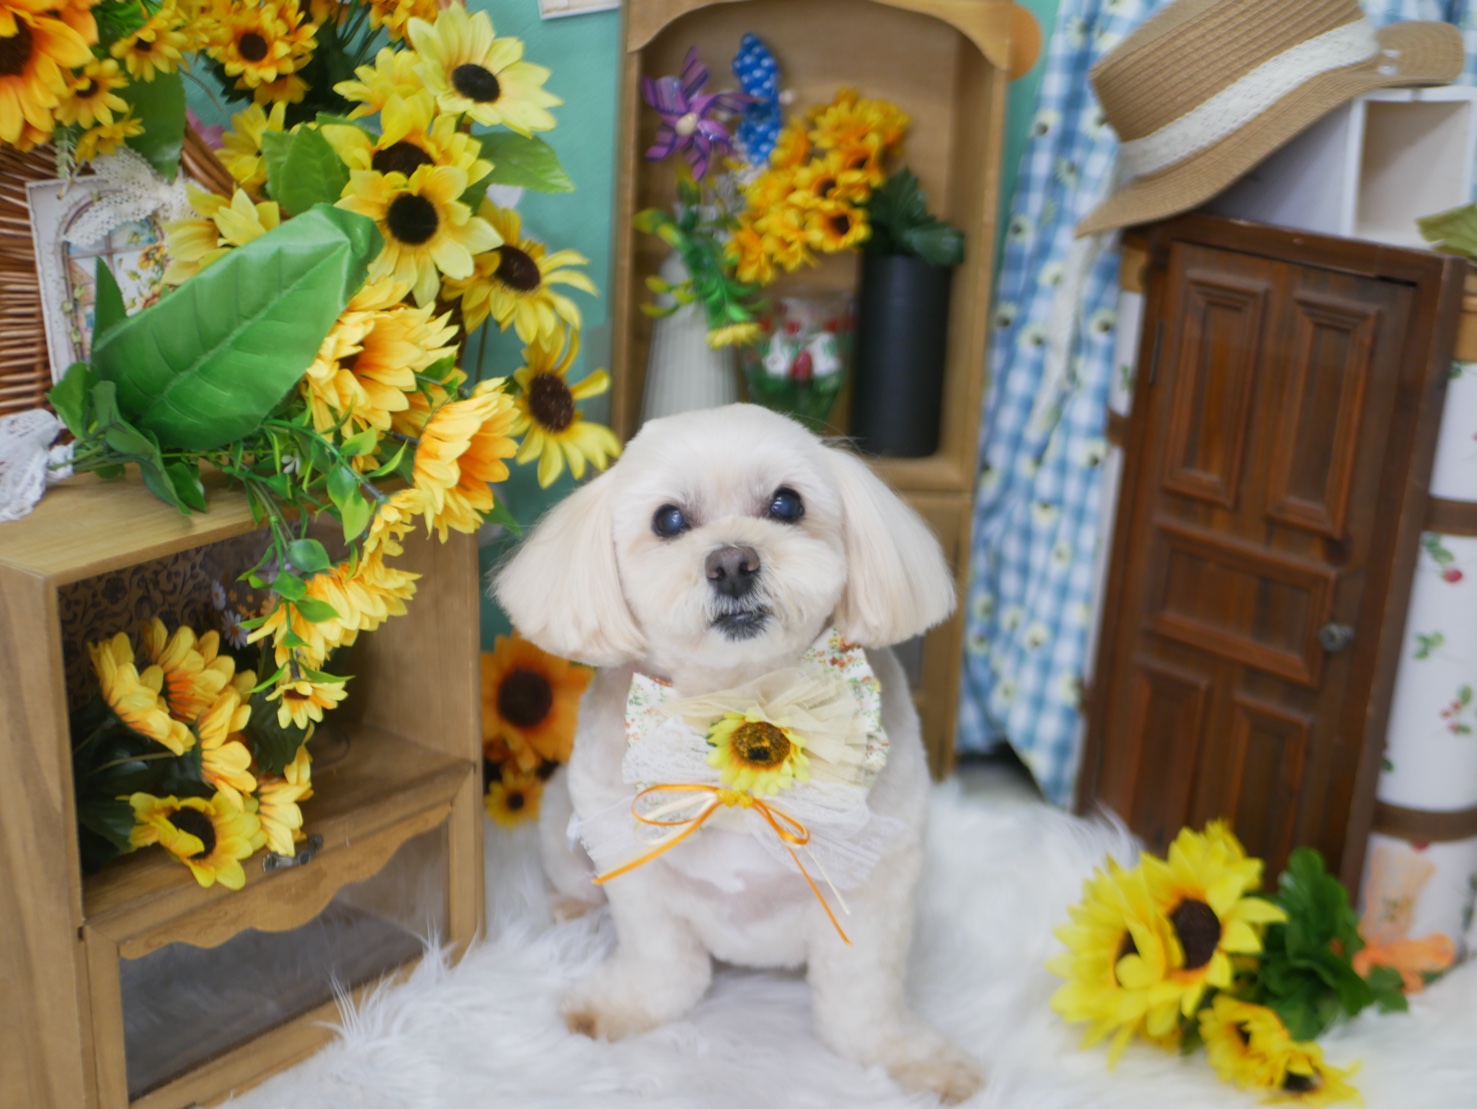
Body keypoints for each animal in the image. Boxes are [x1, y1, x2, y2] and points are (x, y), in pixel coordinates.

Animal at [494, 404, 984, 1103]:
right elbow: (661, 966)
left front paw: (912, 1059)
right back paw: (571, 904)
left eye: (786, 503)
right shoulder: (636, 868)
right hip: (564, 814)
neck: (742, 700)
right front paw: (619, 1007)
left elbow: (862, 1004)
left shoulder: (876, 883)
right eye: (669, 520)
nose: (731, 563)